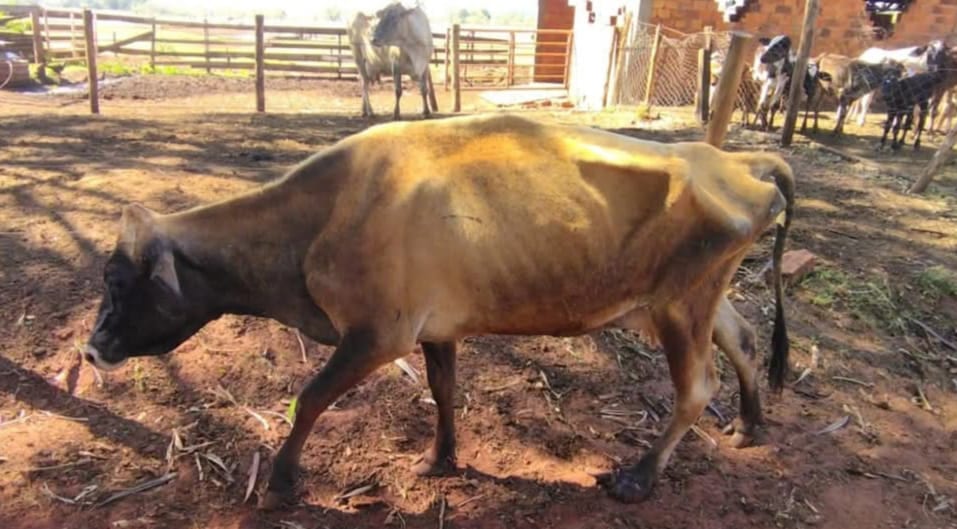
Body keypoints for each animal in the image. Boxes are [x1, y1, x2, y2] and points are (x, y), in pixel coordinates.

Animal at [83, 113, 794, 510]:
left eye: (117, 280)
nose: (90, 349)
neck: (323, 216)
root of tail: (732, 159)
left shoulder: (379, 333)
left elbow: (307, 399)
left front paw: (283, 481)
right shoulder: (436, 328)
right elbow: (444, 391)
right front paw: (442, 458)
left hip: (679, 305)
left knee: (696, 388)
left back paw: (640, 477)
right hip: (699, 298)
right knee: (745, 339)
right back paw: (751, 424)